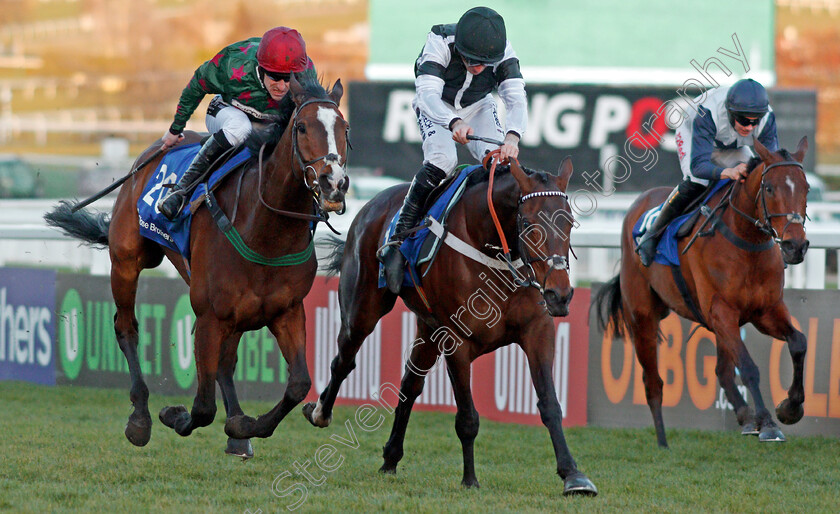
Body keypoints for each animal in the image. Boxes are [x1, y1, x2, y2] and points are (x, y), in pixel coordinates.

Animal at [45, 75, 348, 456]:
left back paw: (237, 436)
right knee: (126, 327)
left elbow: (297, 385)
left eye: (345, 128)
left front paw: (242, 426)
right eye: (303, 126)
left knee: (225, 364)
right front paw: (174, 415)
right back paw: (140, 418)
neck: (266, 231)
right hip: (128, 260)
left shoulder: (286, 310)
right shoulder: (209, 316)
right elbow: (203, 408)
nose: (334, 183)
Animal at [302, 155, 596, 492]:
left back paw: (391, 457)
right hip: (362, 311)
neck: (490, 247)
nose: (560, 294)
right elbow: (467, 417)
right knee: (343, 360)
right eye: (528, 224)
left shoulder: (537, 331)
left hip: (428, 329)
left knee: (409, 384)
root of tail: (370, 205)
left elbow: (550, 405)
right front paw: (470, 479)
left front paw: (573, 475)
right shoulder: (457, 340)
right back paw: (320, 412)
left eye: (569, 221)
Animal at [592, 136, 812, 444]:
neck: (747, 242)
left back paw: (745, 416)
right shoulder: (721, 311)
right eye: (769, 188)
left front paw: (790, 407)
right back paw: (663, 440)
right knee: (653, 380)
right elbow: (748, 368)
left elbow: (799, 343)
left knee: (721, 370)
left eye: (806, 188)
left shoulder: (765, 310)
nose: (795, 246)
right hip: (642, 316)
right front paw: (768, 422)